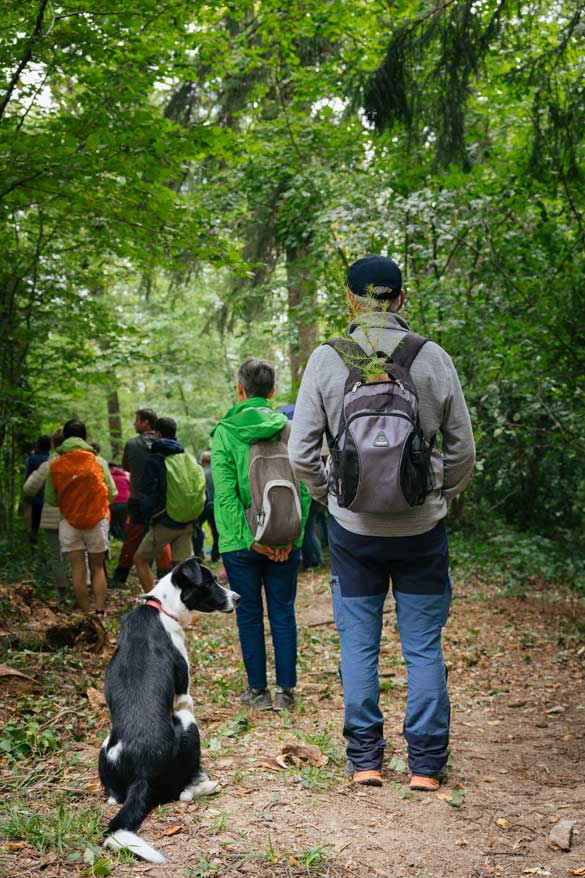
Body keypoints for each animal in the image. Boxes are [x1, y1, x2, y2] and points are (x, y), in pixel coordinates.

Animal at [99, 560, 238, 864]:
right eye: (209, 583)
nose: (238, 598)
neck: (159, 606)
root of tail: (141, 773)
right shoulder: (184, 693)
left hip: (106, 746)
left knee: (114, 797)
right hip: (188, 725)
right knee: (182, 793)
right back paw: (206, 786)